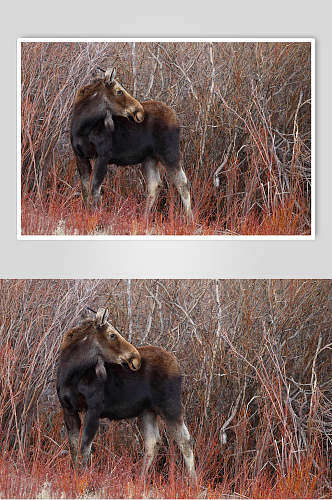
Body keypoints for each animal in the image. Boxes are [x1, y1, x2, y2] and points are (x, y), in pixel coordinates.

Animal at [56, 306, 196, 482]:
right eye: (112, 334)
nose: (135, 357)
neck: (71, 374)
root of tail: (177, 365)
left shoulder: (94, 409)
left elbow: (84, 448)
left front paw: (82, 478)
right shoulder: (68, 409)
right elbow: (74, 449)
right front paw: (75, 476)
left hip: (170, 405)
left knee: (185, 440)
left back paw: (194, 481)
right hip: (147, 411)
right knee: (153, 442)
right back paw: (141, 481)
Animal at [71, 68, 193, 223]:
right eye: (119, 91)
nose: (139, 111)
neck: (83, 127)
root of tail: (177, 119)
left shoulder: (103, 156)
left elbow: (95, 189)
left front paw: (95, 216)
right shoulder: (80, 155)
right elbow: (86, 190)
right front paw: (87, 214)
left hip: (170, 153)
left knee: (182, 183)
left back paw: (190, 220)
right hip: (150, 158)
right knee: (155, 185)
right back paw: (144, 218)